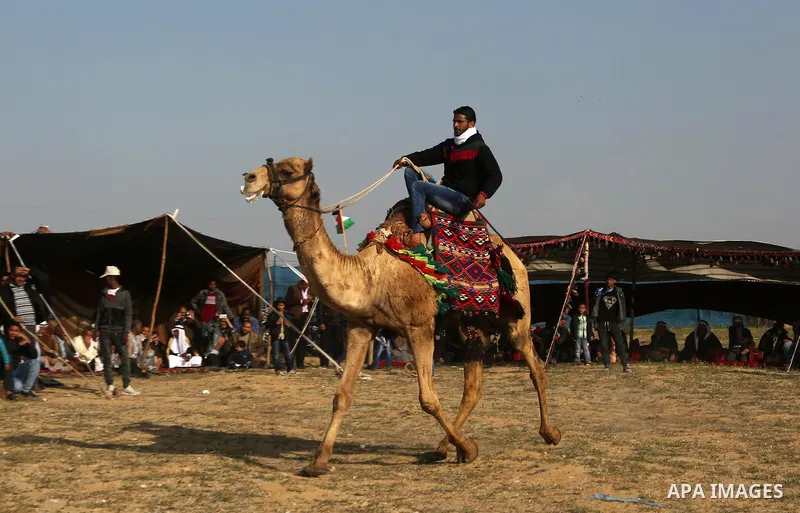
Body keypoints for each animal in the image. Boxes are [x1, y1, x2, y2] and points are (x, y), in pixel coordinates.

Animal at [240, 157, 561, 477]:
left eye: (288, 170)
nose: (249, 177)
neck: (371, 277)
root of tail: (512, 253)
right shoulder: (361, 327)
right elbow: (342, 395)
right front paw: (318, 462)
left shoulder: (420, 326)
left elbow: (428, 399)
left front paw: (470, 448)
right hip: (469, 323)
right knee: (473, 386)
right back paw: (442, 448)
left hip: (516, 314)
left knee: (535, 366)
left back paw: (549, 433)